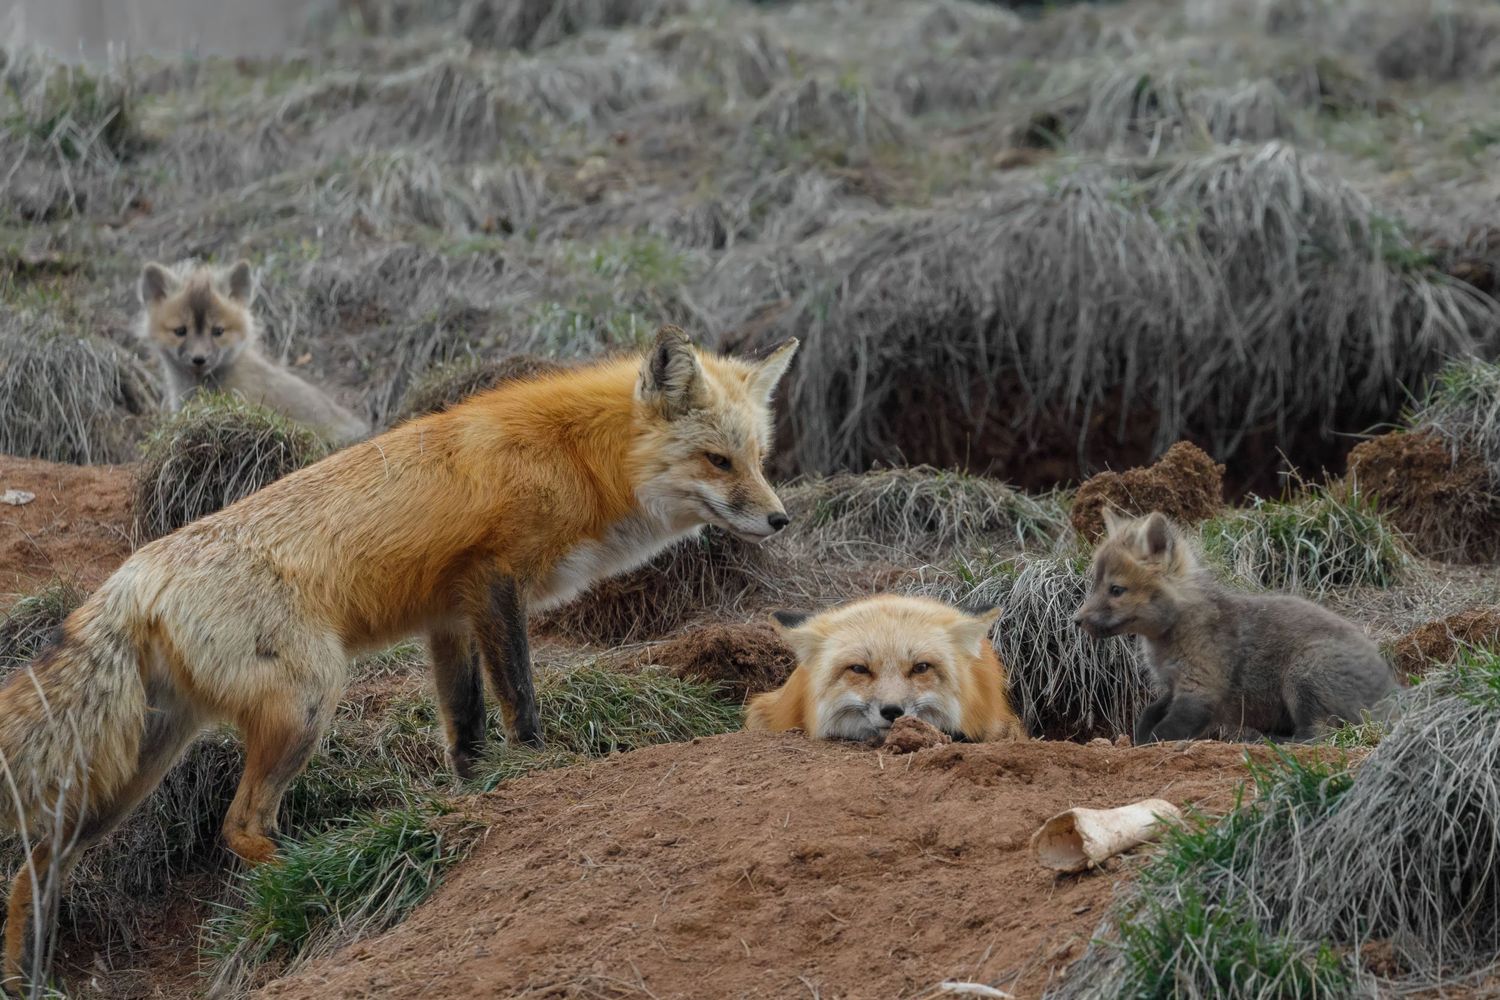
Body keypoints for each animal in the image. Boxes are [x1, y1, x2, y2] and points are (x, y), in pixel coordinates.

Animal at [0, 325, 797, 991]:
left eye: (759, 460)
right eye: (717, 460)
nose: (780, 518)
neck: (572, 455)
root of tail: (134, 574)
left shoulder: (450, 617)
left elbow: (466, 728)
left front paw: (481, 795)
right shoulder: (494, 581)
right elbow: (521, 698)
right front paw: (542, 767)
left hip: (135, 769)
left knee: (38, 866)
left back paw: (29, 977)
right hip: (310, 699)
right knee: (240, 826)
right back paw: (322, 867)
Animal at [1073, 510, 1399, 746]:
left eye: (1116, 590)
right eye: (1094, 586)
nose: (1076, 620)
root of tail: (1392, 686)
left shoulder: (1200, 689)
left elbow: (1163, 732)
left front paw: (1148, 744)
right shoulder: (1174, 686)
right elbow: (1147, 715)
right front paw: (1138, 736)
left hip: (1303, 675)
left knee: (1318, 737)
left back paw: (1272, 741)